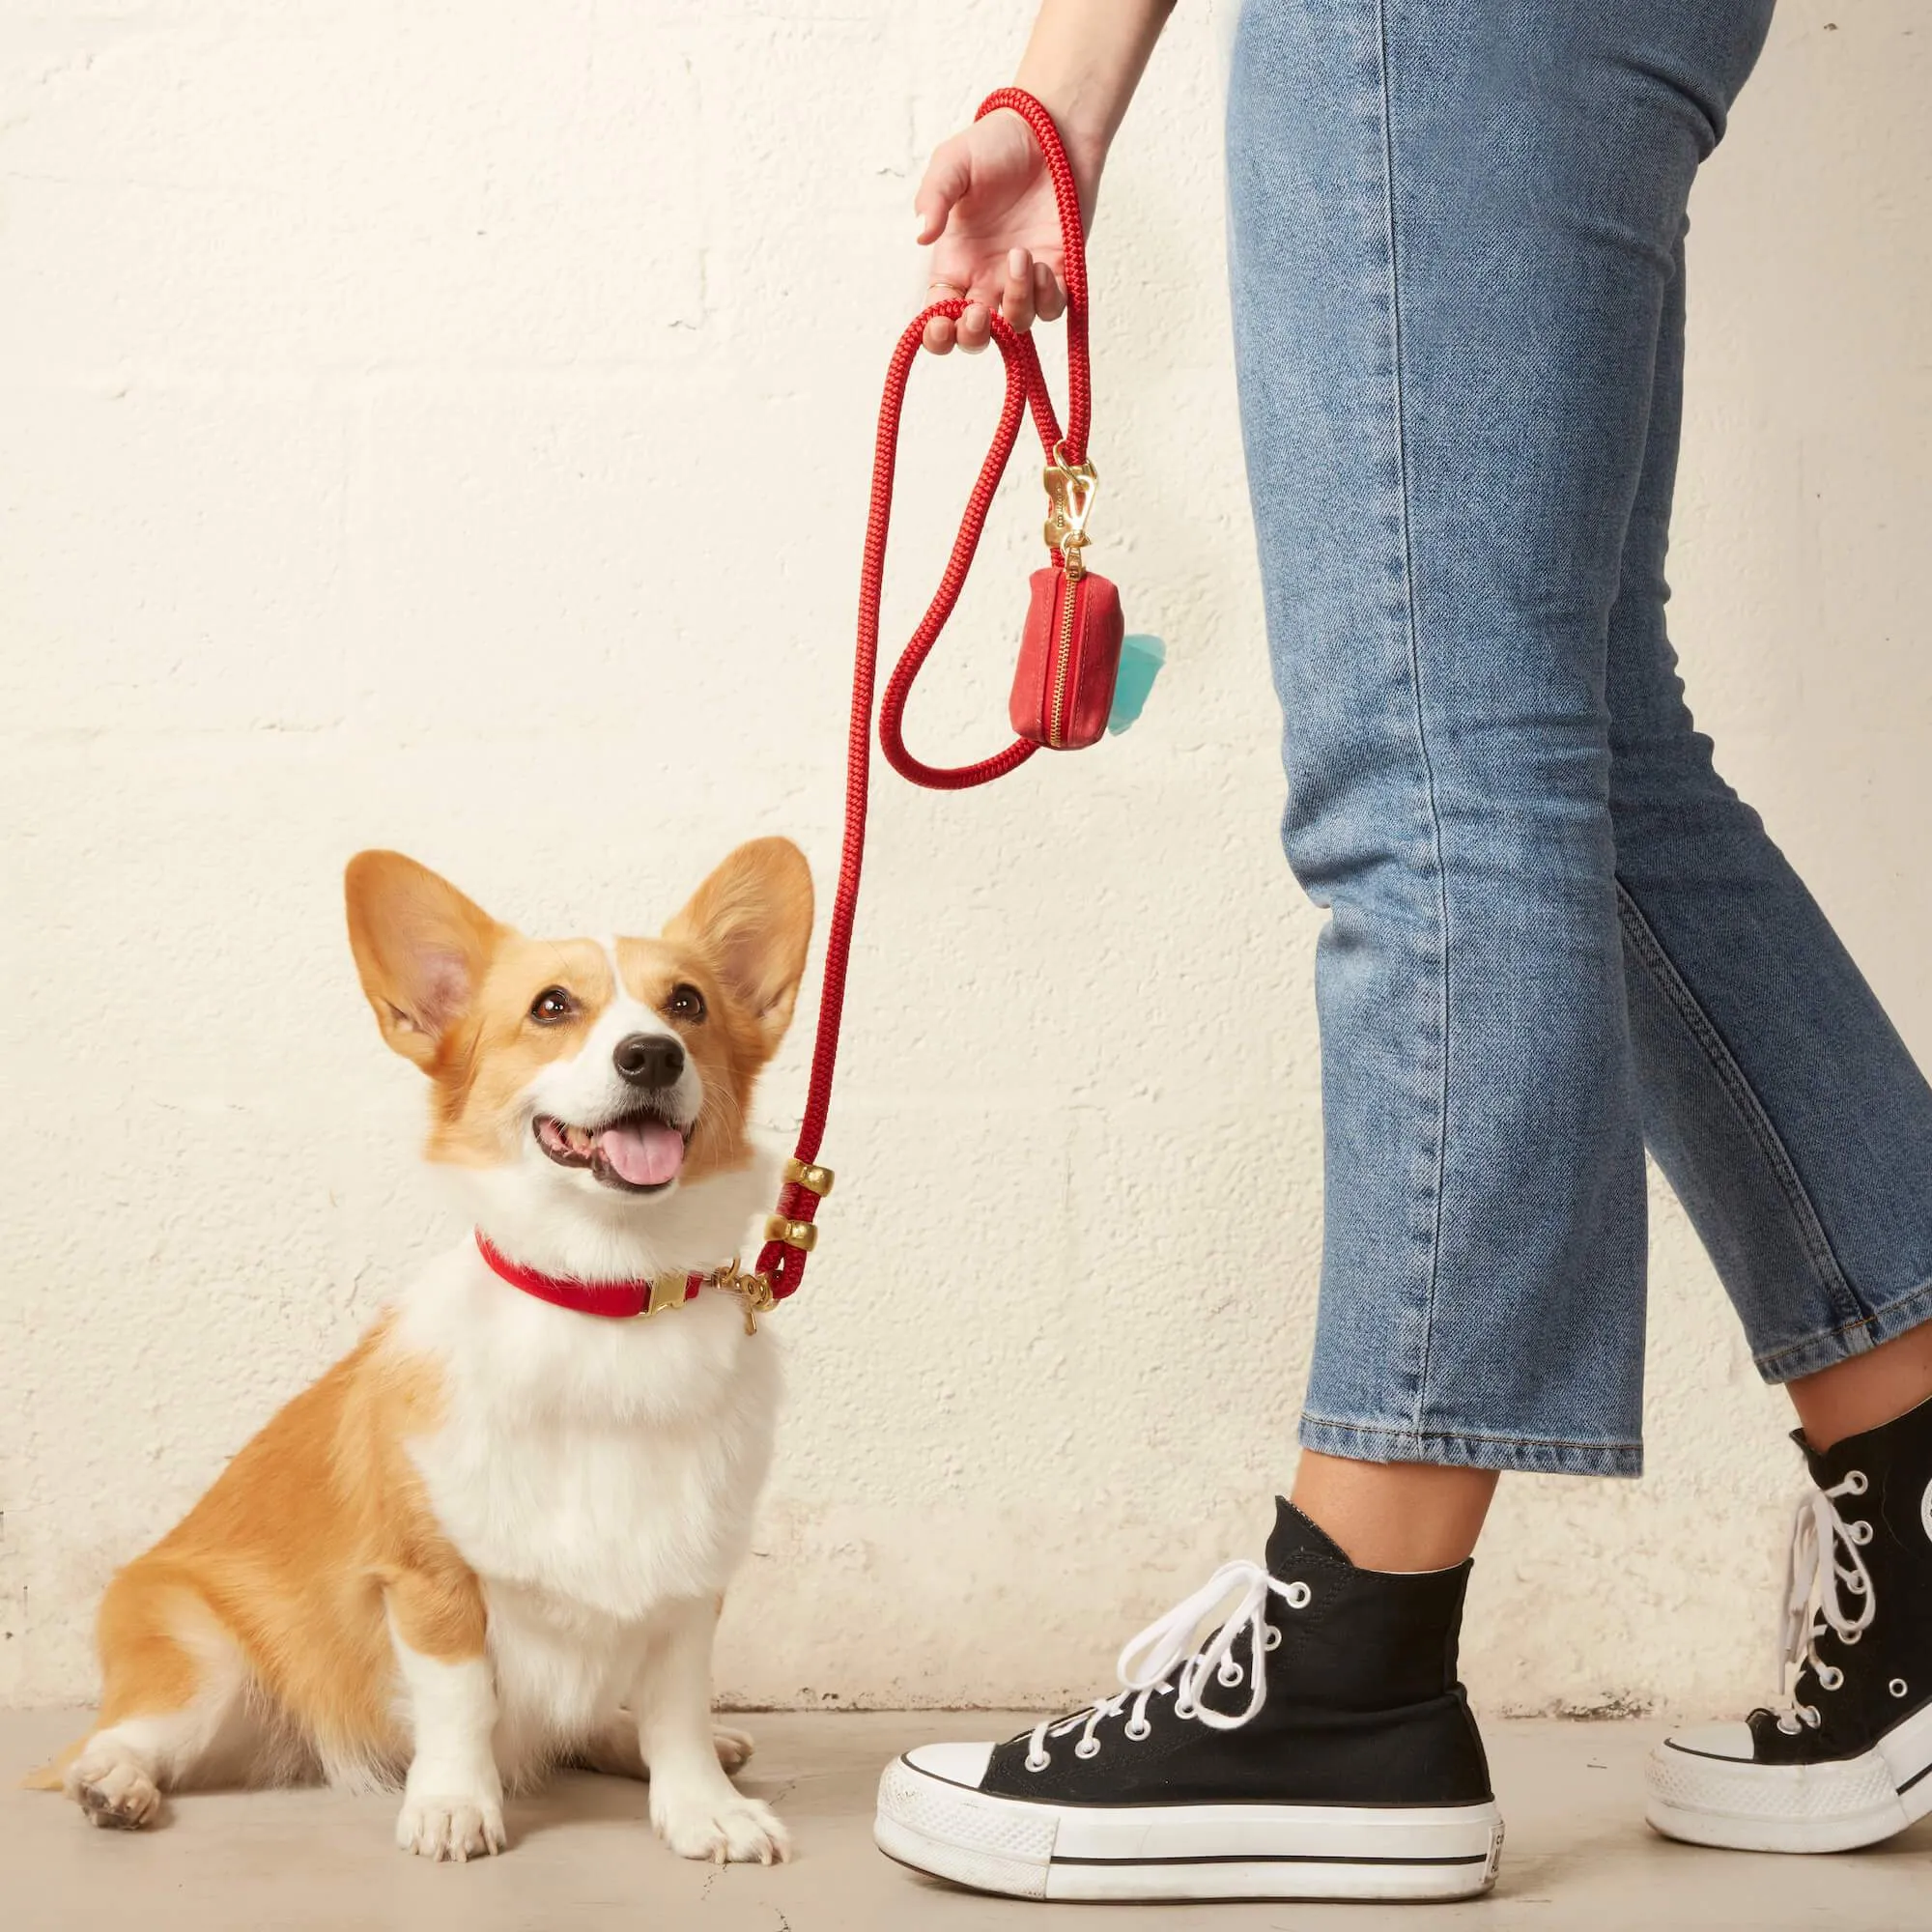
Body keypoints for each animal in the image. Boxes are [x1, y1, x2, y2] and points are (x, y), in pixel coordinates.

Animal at [30, 838, 815, 1862]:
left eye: (687, 1003)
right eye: (552, 1007)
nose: (651, 1053)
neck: (605, 1297)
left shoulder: (687, 1578)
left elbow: (675, 1709)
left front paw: (702, 1807)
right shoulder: (428, 1580)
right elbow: (461, 1701)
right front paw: (452, 1806)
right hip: (203, 1667)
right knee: (123, 1737)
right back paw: (112, 1782)